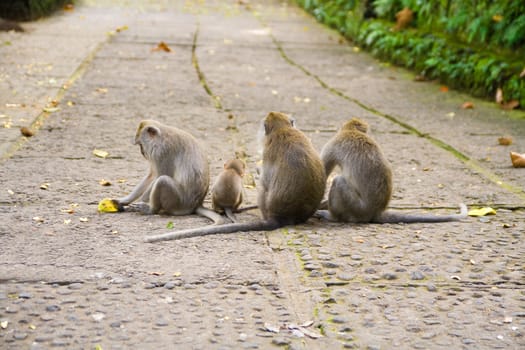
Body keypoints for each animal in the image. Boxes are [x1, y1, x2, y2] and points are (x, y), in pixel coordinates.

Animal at [316, 117, 466, 221]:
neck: (351, 131)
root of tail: (376, 212)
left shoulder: (333, 144)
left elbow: (324, 171)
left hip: (357, 208)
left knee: (339, 181)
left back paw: (332, 217)